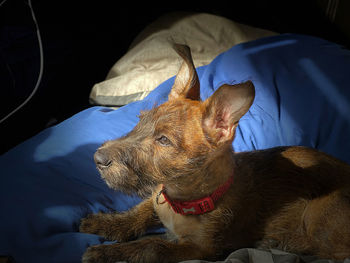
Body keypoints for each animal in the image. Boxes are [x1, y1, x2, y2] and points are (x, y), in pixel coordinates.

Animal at [79, 43, 350, 263]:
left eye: (163, 140)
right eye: (141, 120)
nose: (97, 159)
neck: (184, 199)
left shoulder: (198, 250)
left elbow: (152, 246)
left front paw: (108, 253)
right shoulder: (157, 196)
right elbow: (140, 211)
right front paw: (106, 222)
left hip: (317, 214)